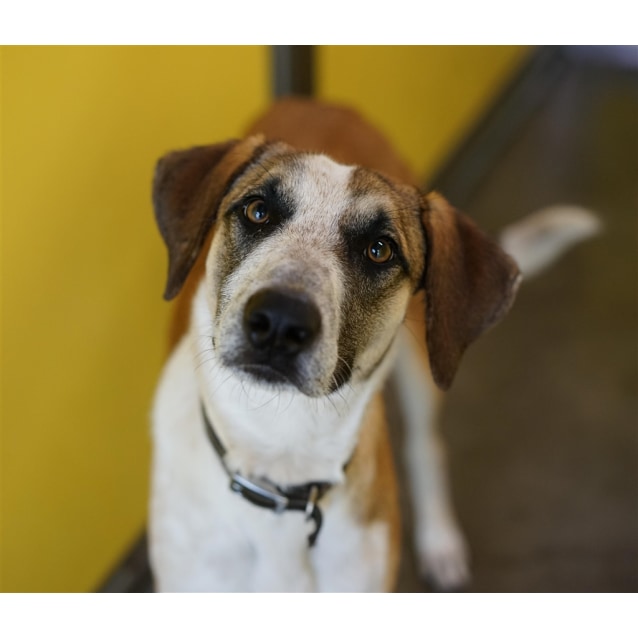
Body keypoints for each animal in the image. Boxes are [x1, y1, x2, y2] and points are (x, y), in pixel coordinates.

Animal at [149, 97, 600, 592]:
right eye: (257, 211)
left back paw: (440, 541)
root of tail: (323, 103)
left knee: (427, 445)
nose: (279, 322)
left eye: (379, 250)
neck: (280, 451)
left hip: (423, 361)